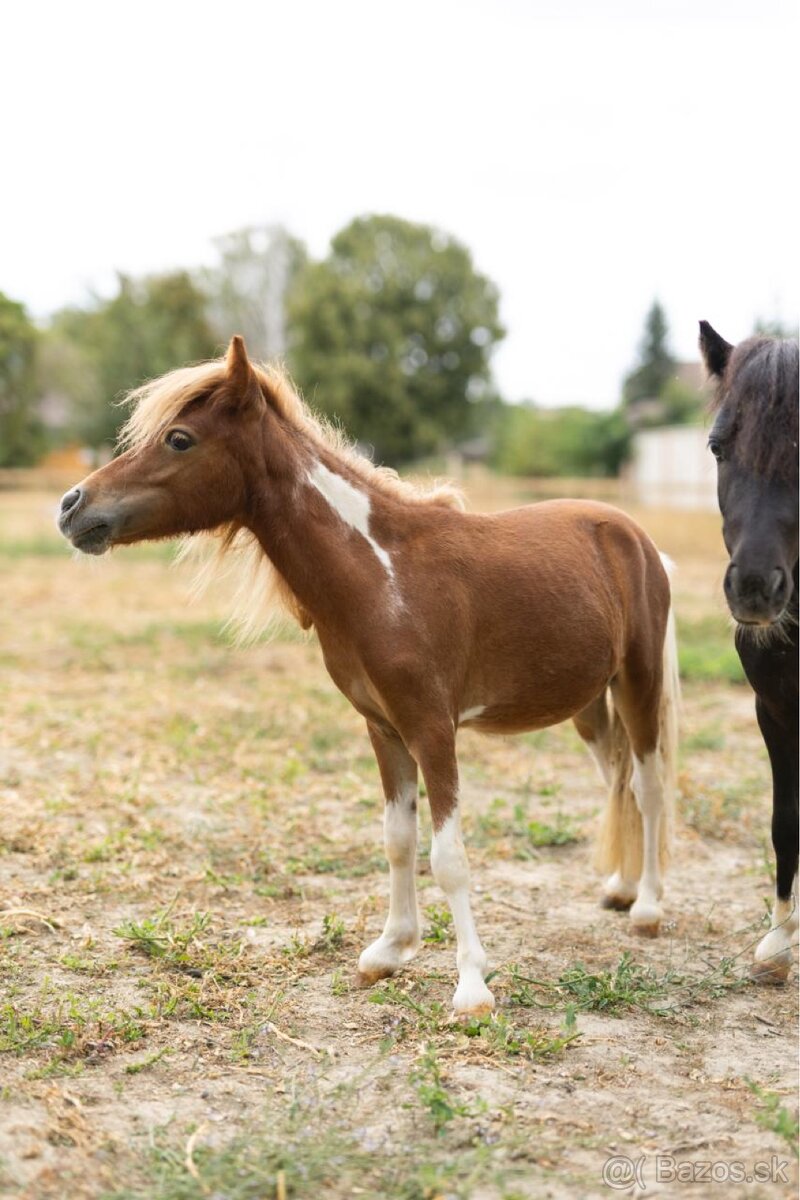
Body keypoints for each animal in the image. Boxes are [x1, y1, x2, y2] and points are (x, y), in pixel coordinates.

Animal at [59, 338, 681, 1012]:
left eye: (178, 438)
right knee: (617, 778)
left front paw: (471, 986)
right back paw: (619, 887)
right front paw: (390, 950)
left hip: (638, 684)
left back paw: (647, 908)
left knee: (648, 787)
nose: (72, 507)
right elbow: (397, 838)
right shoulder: (383, 729)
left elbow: (448, 854)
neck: (381, 576)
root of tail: (637, 538)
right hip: (588, 705)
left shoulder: (433, 729)